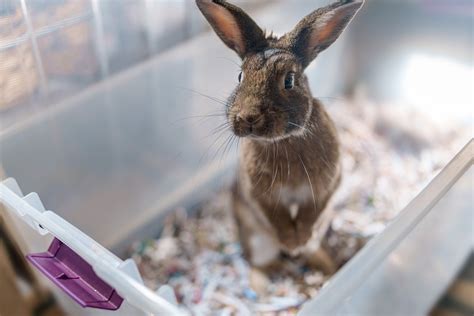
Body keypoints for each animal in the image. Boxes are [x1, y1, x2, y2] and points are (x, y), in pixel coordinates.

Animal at [196, 0, 362, 272]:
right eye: (240, 76)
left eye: (289, 80)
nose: (248, 117)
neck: (284, 141)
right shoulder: (259, 196)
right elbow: (277, 217)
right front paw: (290, 242)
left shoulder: (327, 186)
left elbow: (311, 213)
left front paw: (300, 240)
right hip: (257, 242)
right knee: (262, 268)